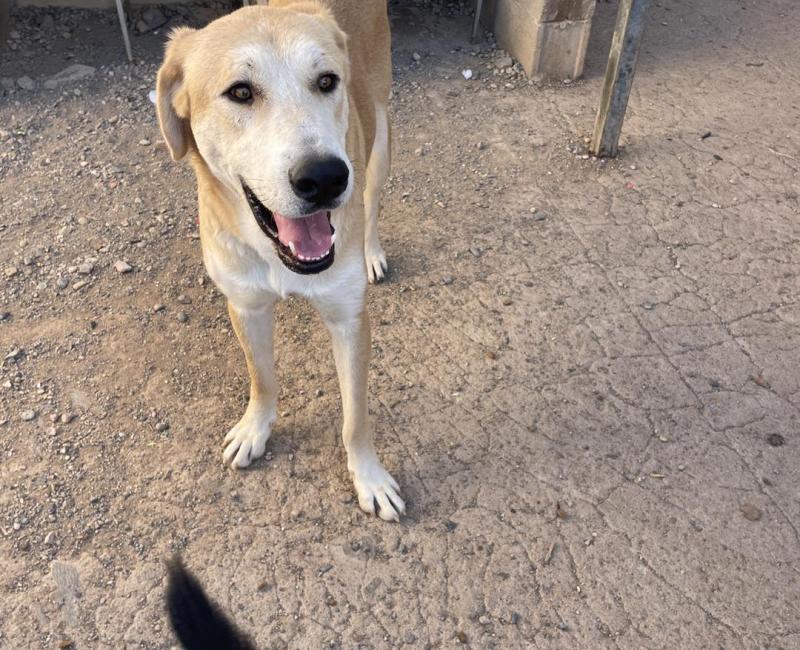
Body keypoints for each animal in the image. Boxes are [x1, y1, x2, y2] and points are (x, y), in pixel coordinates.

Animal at [156, 0, 404, 521]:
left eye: (327, 81)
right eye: (240, 92)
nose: (325, 178)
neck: (278, 257)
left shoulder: (348, 318)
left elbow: (355, 417)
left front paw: (369, 477)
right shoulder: (246, 306)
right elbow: (262, 377)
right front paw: (255, 429)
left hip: (380, 137)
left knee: (373, 199)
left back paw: (372, 251)